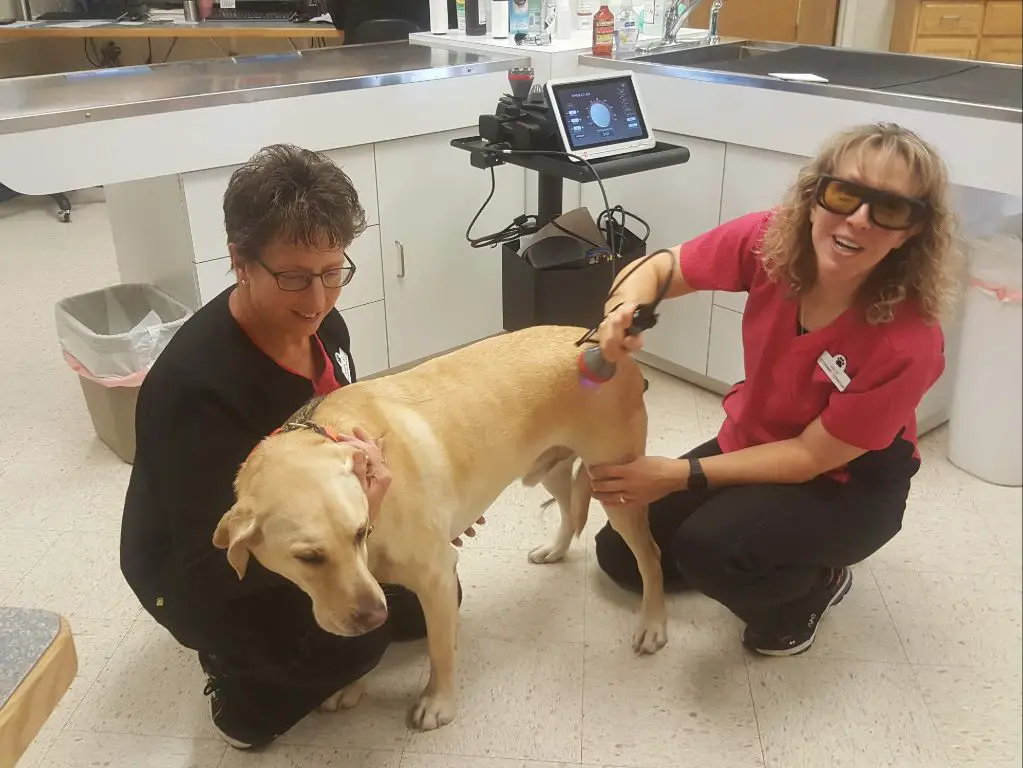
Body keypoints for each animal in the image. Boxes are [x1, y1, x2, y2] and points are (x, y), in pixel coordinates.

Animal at [211, 325, 666, 732]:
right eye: (307, 557)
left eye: (359, 532)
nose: (375, 615)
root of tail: (604, 341)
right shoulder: (366, 588)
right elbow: (363, 642)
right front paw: (353, 685)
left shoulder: (436, 577)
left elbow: (440, 649)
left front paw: (438, 702)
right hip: (548, 467)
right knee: (570, 512)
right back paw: (554, 550)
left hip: (619, 488)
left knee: (650, 556)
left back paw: (653, 625)